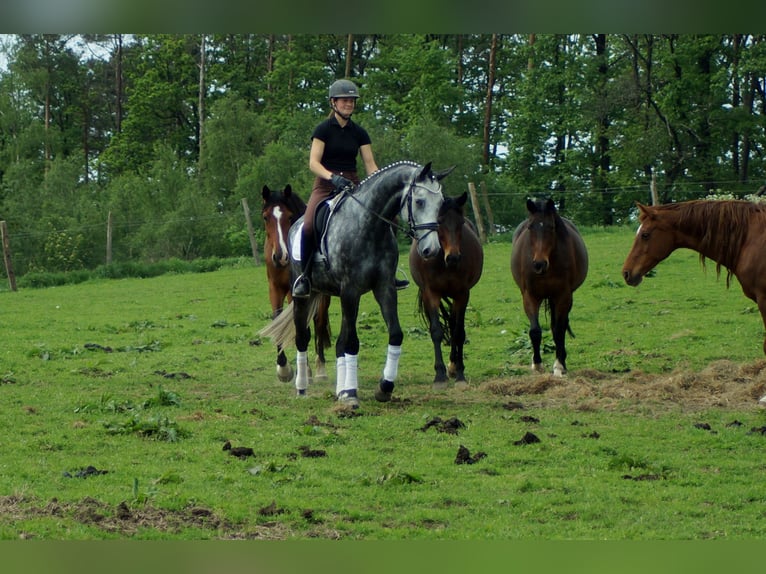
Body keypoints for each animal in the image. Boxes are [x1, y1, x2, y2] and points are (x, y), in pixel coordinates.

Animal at [262, 187, 332, 384]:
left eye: (290, 216)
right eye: (265, 217)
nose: (281, 256)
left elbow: (306, 327)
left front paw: (305, 371)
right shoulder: (275, 289)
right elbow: (277, 319)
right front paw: (283, 368)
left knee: (319, 323)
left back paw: (320, 368)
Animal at [408, 191, 486, 390]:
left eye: (460, 223)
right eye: (439, 222)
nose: (453, 257)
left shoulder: (462, 294)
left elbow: (458, 333)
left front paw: (460, 374)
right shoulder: (431, 294)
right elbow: (436, 331)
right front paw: (439, 376)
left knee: (452, 324)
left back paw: (453, 366)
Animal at [512, 198, 592, 378]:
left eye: (551, 227)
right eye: (530, 227)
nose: (539, 264)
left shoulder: (563, 296)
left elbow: (559, 330)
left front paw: (559, 366)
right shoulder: (530, 296)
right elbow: (535, 331)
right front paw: (537, 364)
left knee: (559, 325)